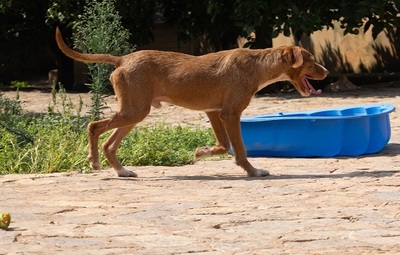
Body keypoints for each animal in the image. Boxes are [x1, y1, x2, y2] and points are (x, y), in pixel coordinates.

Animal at [55, 27, 328, 177]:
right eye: (311, 60)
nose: (326, 72)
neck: (257, 65)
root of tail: (123, 59)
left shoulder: (214, 112)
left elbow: (223, 146)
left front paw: (201, 151)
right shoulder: (231, 113)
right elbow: (239, 149)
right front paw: (253, 171)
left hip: (135, 111)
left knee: (109, 144)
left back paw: (122, 171)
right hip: (134, 111)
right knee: (93, 127)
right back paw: (95, 162)